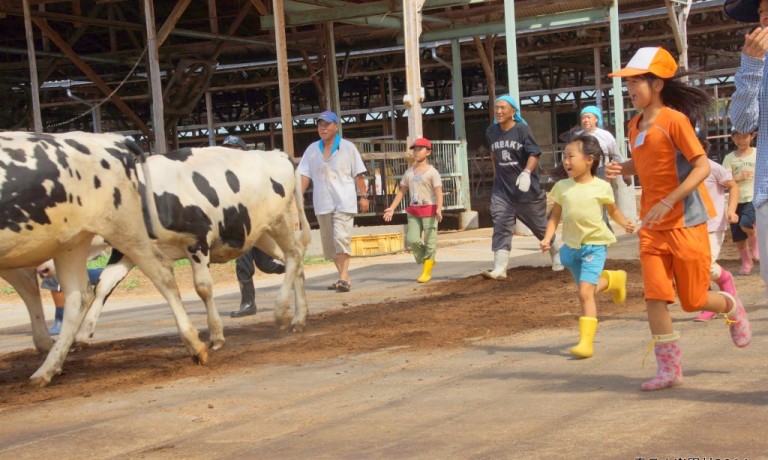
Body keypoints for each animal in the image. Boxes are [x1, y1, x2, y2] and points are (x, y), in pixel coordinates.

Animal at [0, 131, 207, 386]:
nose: (43, 269)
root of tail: (111, 138)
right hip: (71, 241)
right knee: (74, 294)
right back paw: (49, 365)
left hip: (120, 227)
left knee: (161, 271)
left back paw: (194, 344)